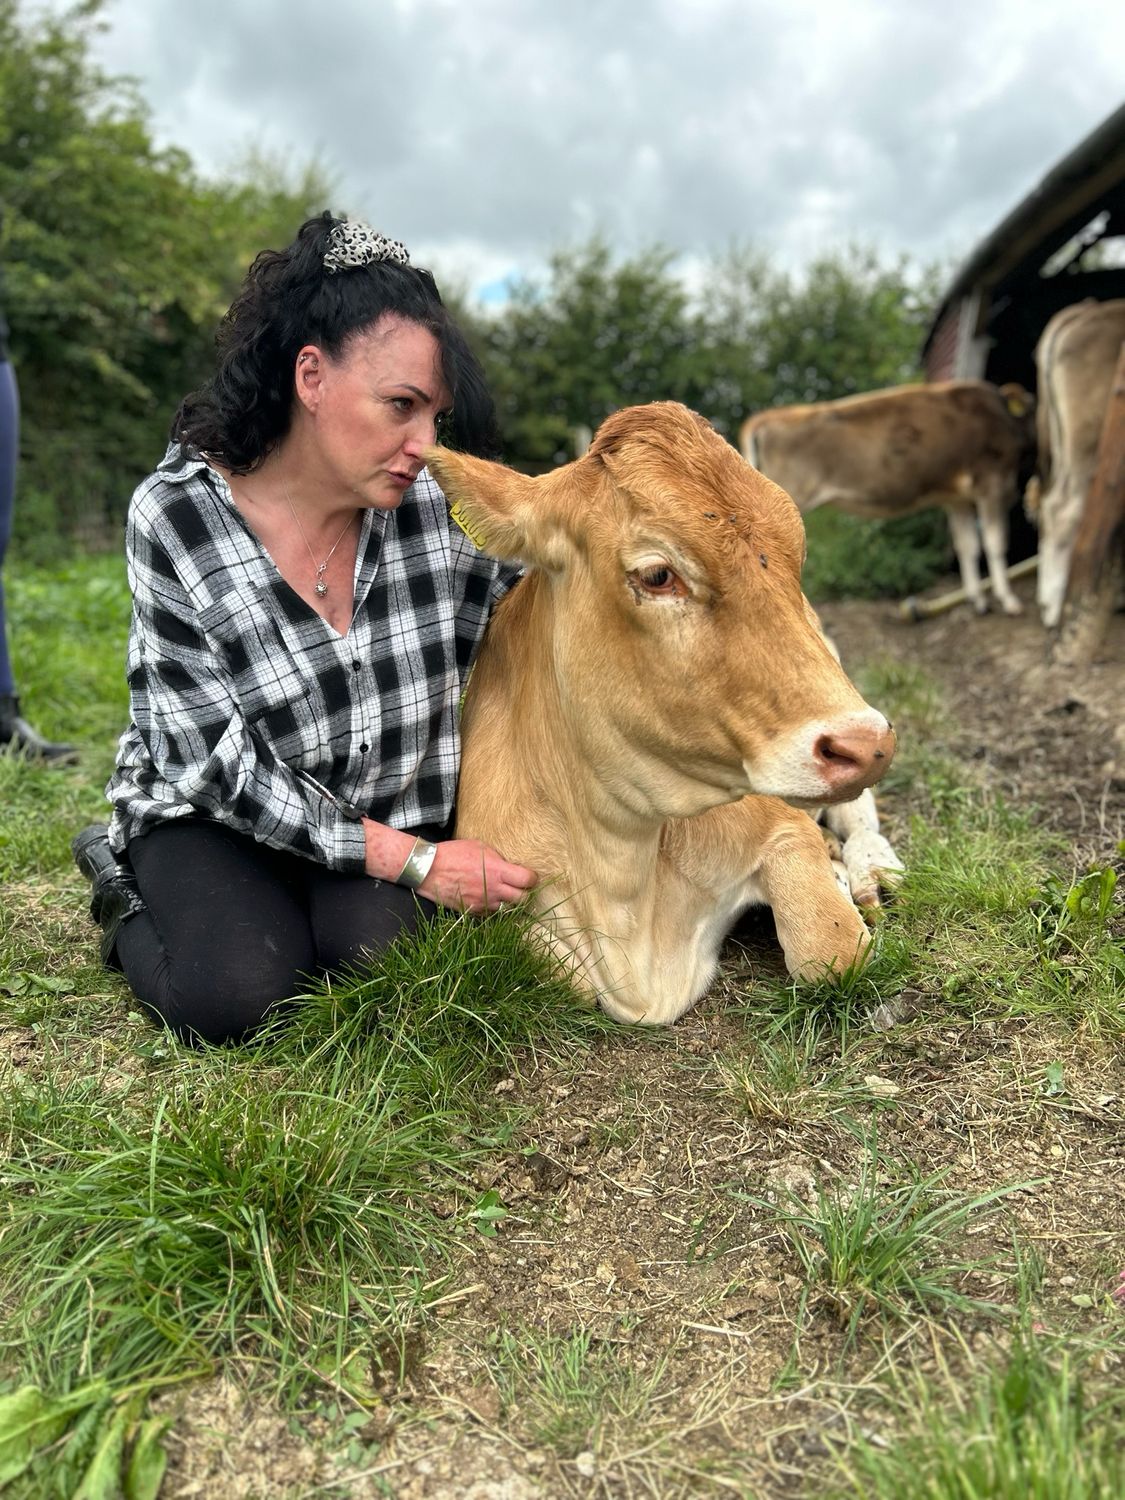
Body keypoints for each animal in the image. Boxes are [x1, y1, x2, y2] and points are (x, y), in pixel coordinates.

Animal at [426, 402, 897, 1026]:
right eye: (657, 574)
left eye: (796, 557)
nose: (864, 744)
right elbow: (563, 973)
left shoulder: (781, 824)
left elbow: (832, 949)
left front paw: (843, 885)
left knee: (860, 814)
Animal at [739, 381, 1036, 616]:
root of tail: (767, 417)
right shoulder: (993, 482)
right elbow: (995, 543)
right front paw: (1009, 601)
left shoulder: (957, 498)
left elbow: (967, 546)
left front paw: (978, 602)